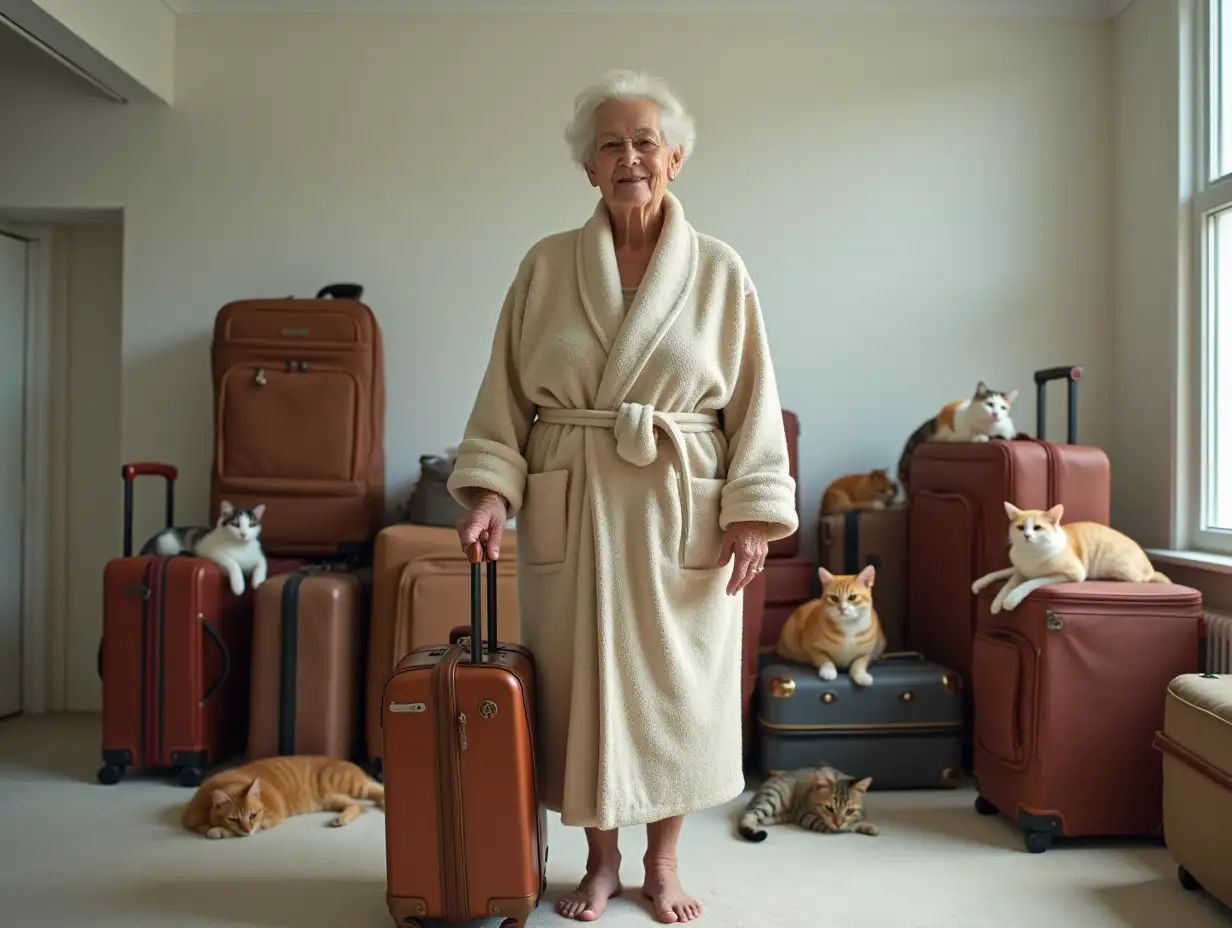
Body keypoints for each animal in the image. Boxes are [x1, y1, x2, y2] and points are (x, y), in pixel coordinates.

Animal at [179, 754, 381, 838]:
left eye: (253, 815)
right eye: (234, 819)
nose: (247, 829)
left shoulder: (270, 818)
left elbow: (247, 829)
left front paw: (219, 830)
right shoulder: (191, 820)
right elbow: (204, 828)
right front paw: (215, 829)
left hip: (352, 785)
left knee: (378, 788)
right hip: (330, 797)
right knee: (357, 805)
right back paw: (341, 818)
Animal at [734, 764, 882, 842]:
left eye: (849, 811)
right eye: (829, 808)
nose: (838, 823)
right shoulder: (806, 816)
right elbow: (847, 827)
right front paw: (868, 827)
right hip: (772, 800)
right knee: (748, 816)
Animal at [970, 500, 1172, 616]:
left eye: (1037, 528)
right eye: (1020, 528)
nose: (1027, 536)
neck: (1031, 554)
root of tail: (1150, 567)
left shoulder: (1072, 573)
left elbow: (1030, 582)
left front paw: (1011, 600)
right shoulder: (1020, 569)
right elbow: (1006, 577)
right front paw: (992, 596)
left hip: (1121, 567)